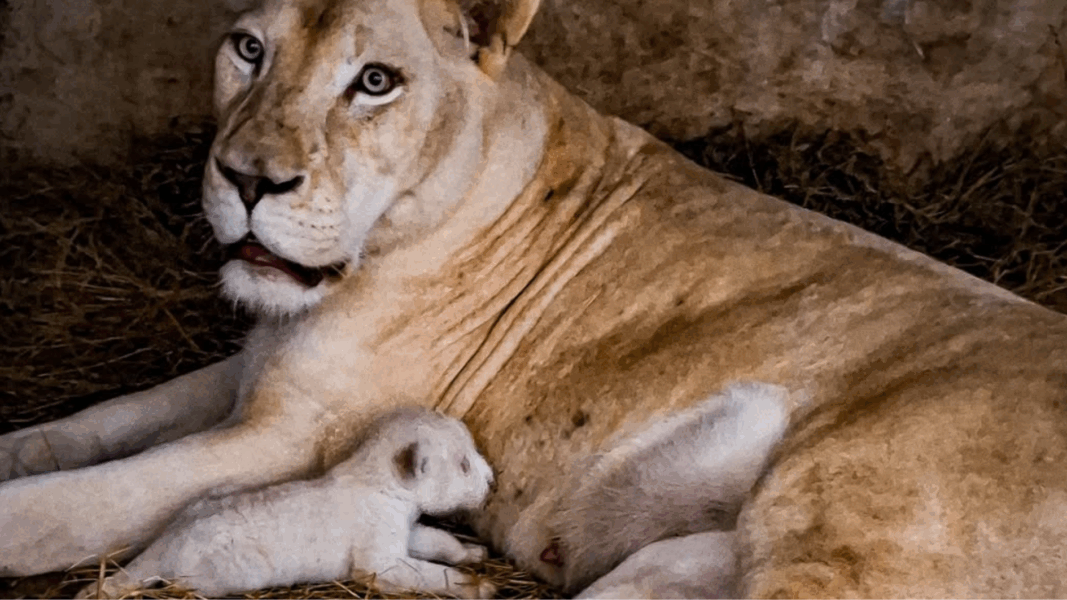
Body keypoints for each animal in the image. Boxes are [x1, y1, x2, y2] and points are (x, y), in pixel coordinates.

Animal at [1, 0, 1066, 596]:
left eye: (374, 81)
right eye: (248, 50)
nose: (247, 180)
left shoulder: (290, 436)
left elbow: (82, 503)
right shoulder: (252, 374)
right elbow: (91, 426)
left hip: (835, 542)